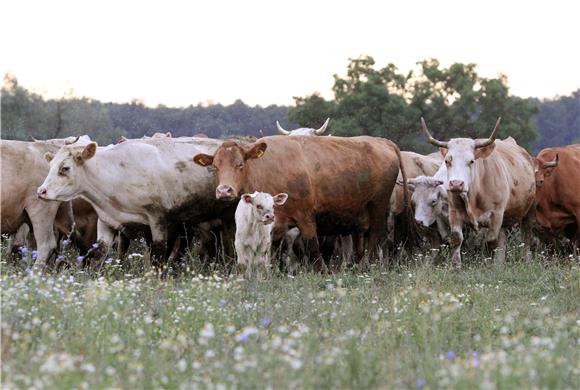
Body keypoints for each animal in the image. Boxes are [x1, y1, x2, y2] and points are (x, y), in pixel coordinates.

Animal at [38, 136, 234, 270]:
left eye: (65, 168)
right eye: (51, 166)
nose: (41, 191)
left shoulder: (158, 221)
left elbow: (158, 256)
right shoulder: (107, 220)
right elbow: (99, 253)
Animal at [191, 134, 408, 268]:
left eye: (240, 164)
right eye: (215, 166)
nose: (223, 190)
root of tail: (382, 141)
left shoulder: (305, 217)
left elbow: (313, 250)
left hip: (378, 207)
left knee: (376, 238)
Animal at [422, 117, 536, 266]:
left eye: (471, 161)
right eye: (447, 161)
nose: (456, 184)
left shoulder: (496, 215)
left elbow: (491, 242)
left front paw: (489, 265)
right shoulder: (454, 212)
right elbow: (456, 239)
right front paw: (455, 266)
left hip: (528, 212)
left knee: (526, 239)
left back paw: (527, 262)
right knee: (503, 241)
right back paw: (499, 265)